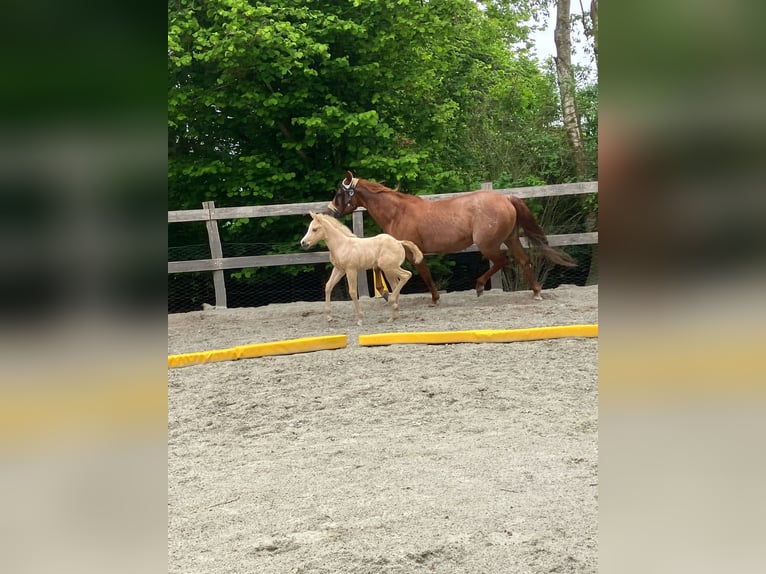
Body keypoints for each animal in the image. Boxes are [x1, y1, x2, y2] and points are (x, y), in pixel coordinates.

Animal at [326, 171, 577, 305]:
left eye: (339, 193)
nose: (330, 211)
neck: (397, 212)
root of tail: (505, 198)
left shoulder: (409, 250)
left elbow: (424, 273)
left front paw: (434, 298)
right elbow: (381, 268)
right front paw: (387, 293)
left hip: (488, 244)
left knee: (502, 261)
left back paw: (479, 286)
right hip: (511, 238)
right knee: (524, 261)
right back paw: (536, 292)